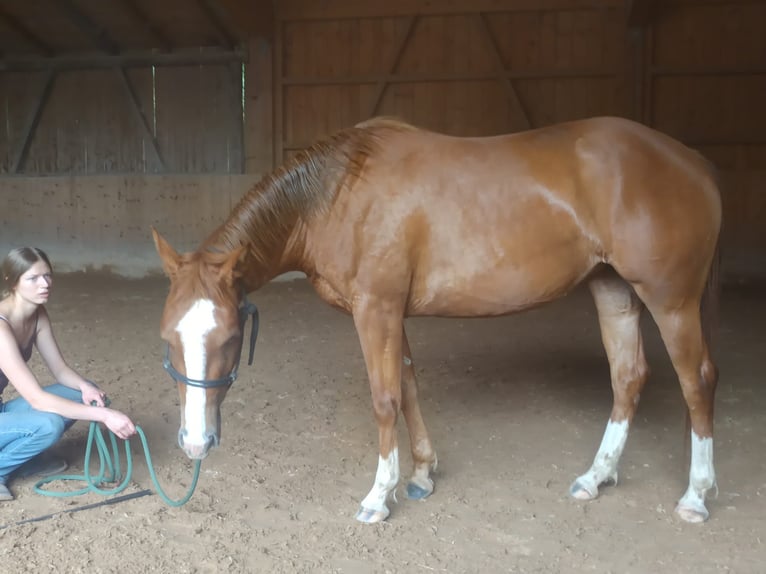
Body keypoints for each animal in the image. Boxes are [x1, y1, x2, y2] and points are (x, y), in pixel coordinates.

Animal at [152, 115, 722, 524]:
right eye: (167, 339)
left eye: (229, 337)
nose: (195, 442)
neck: (338, 193)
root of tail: (693, 161)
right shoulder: (391, 313)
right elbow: (407, 387)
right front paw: (422, 474)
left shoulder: (375, 309)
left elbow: (385, 400)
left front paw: (379, 496)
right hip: (613, 291)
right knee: (628, 379)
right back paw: (595, 477)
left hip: (671, 301)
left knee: (697, 382)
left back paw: (696, 495)